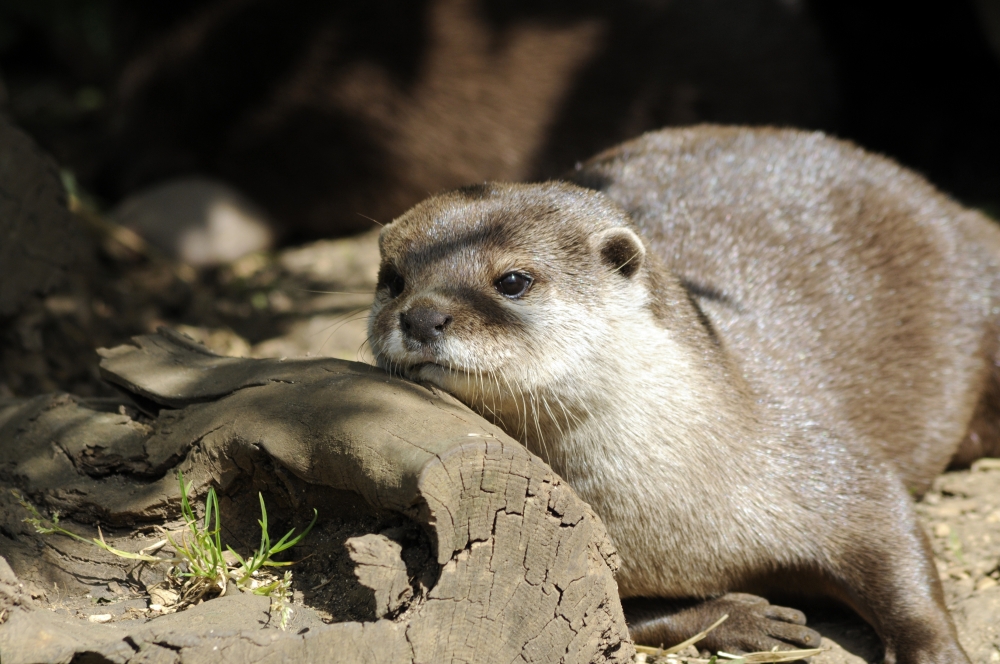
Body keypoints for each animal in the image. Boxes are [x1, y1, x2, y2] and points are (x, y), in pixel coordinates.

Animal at [367, 126, 1000, 663]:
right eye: (393, 279)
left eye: (513, 281)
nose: (421, 315)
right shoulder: (577, 555)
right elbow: (617, 615)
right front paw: (742, 618)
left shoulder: (819, 459)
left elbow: (893, 538)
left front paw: (934, 649)